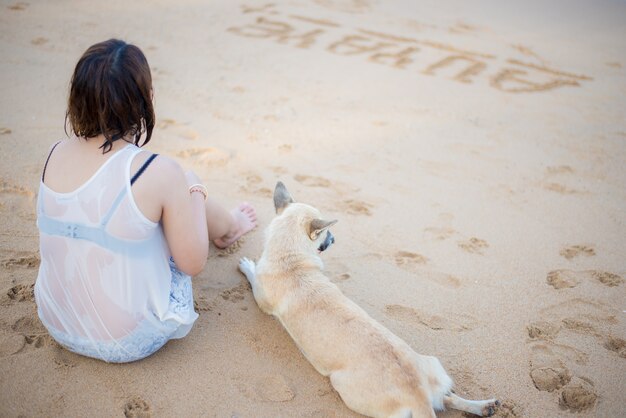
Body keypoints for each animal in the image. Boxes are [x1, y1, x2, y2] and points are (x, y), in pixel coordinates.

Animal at [236, 184, 500, 418]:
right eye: (326, 234)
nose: (334, 239)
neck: (290, 259)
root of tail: (419, 397)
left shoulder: (261, 299)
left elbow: (253, 276)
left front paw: (248, 265)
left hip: (344, 387)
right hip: (433, 367)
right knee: (447, 398)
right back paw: (484, 406)